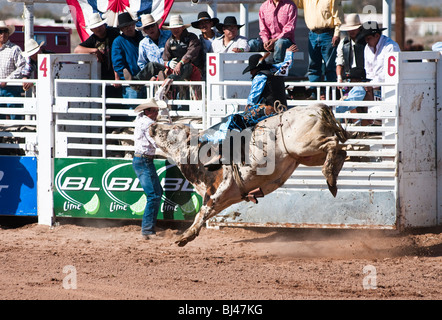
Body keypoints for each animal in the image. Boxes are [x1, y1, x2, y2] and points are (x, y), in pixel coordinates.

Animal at [150, 104, 348, 246]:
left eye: (173, 129)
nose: (152, 125)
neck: (198, 154)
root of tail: (317, 107)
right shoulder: (226, 198)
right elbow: (206, 213)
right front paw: (189, 235)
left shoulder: (217, 190)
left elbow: (202, 212)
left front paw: (185, 236)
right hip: (306, 155)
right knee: (340, 151)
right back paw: (332, 180)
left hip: (305, 145)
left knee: (333, 143)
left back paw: (329, 173)